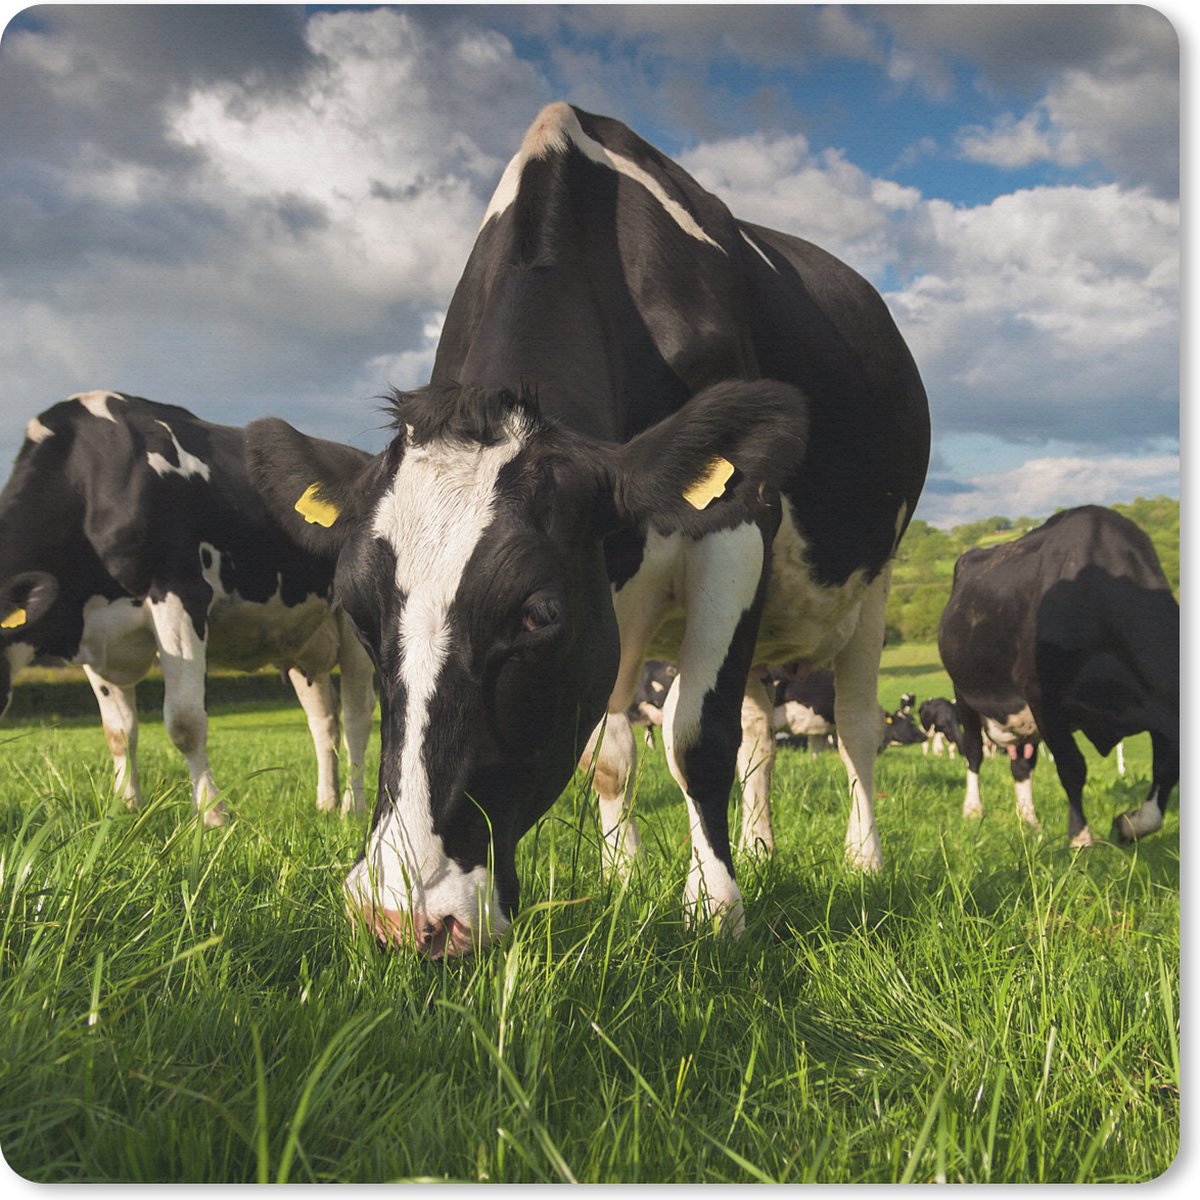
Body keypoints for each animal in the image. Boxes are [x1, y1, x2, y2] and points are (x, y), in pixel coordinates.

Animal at [0, 391, 376, 824]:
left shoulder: (180, 595)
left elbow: (185, 721)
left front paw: (213, 814)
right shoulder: (95, 634)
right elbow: (119, 732)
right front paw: (125, 808)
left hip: (352, 623)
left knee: (357, 715)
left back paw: (352, 808)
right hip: (301, 639)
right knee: (323, 720)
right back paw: (326, 802)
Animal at [247, 102, 929, 956]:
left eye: (537, 614)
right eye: (358, 613)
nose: (404, 917)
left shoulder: (737, 527)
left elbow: (695, 736)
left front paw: (715, 910)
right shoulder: (611, 601)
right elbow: (611, 756)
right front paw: (624, 877)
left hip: (871, 587)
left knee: (856, 728)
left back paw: (864, 860)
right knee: (759, 735)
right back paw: (763, 846)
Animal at [938, 505, 1178, 845]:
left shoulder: (1156, 706)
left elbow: (1166, 771)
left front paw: (1128, 824)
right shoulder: (1044, 698)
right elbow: (1072, 767)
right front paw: (1081, 838)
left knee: (1021, 764)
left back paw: (1029, 822)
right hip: (965, 694)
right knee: (973, 751)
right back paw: (973, 809)